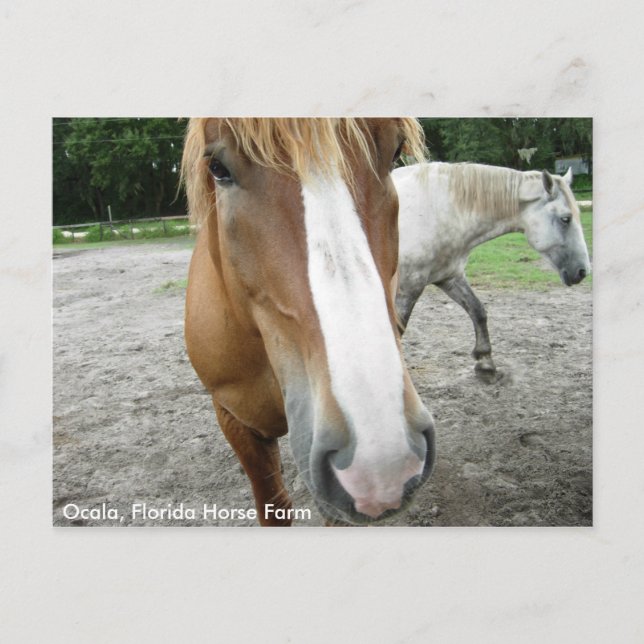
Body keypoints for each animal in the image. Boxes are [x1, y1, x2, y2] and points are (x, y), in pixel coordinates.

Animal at [393, 162, 591, 378]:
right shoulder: (409, 286)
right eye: (566, 219)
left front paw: (485, 361)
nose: (583, 271)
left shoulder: (449, 277)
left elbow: (478, 310)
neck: (436, 211)